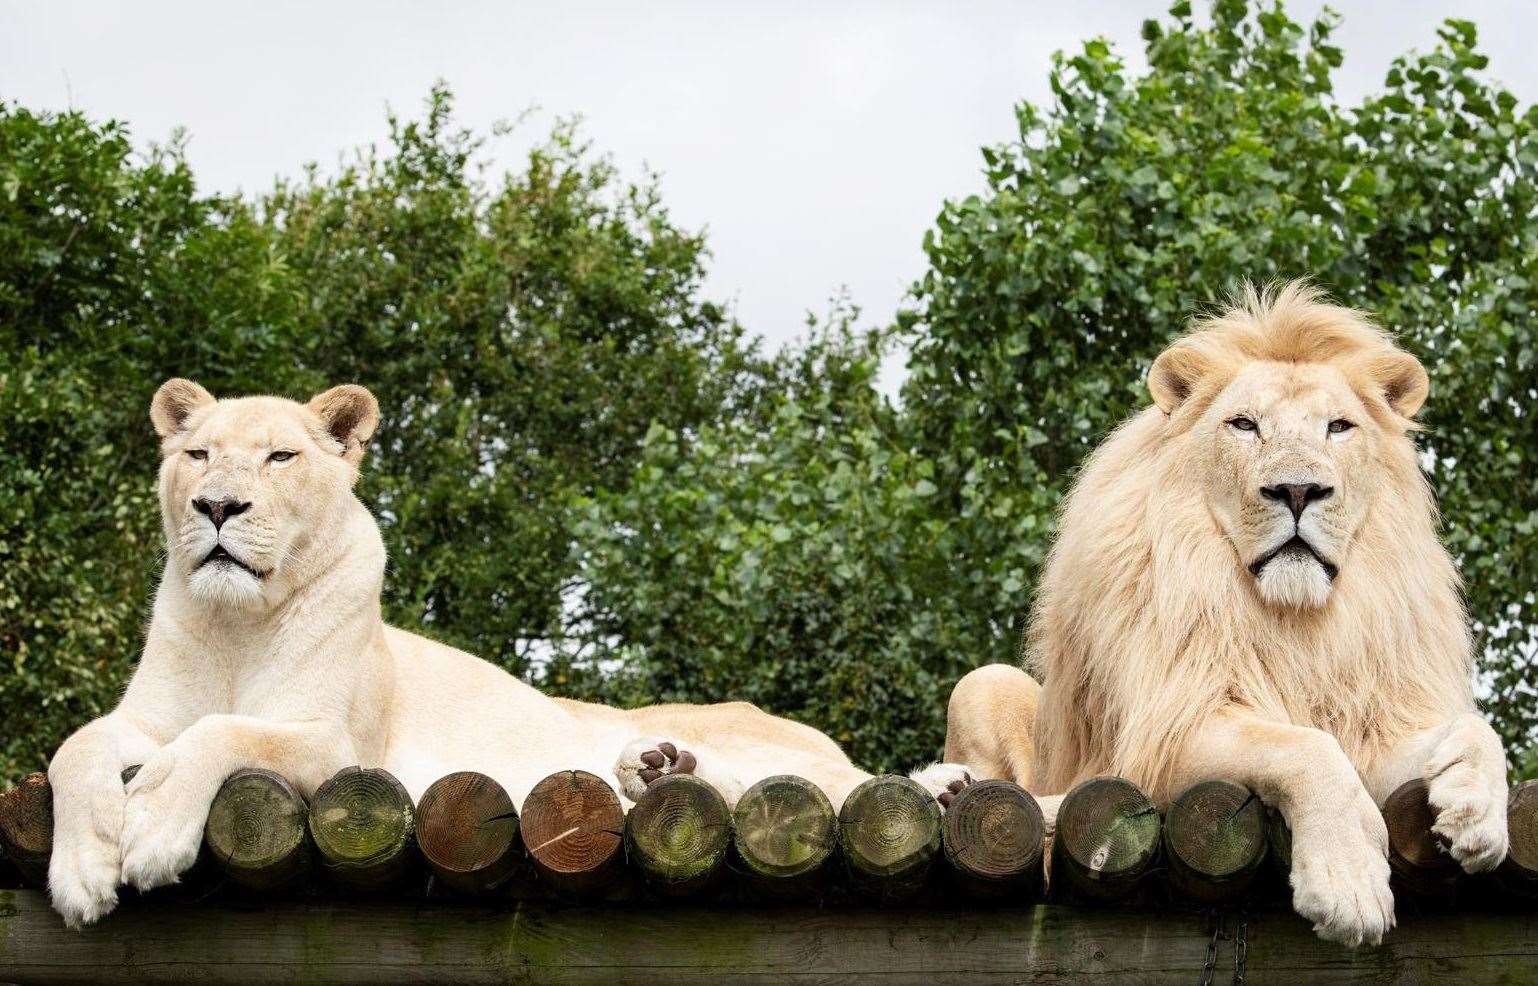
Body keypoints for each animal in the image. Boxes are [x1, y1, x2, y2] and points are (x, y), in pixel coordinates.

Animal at [51, 375, 972, 922]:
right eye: (197, 454)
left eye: (280, 456)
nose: (216, 506)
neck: (236, 625)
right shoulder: (145, 721)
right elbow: (73, 750)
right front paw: (82, 873)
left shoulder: (339, 743)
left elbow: (226, 731)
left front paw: (153, 836)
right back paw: (655, 769)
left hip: (786, 752)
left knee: (843, 782)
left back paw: (945, 787)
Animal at [941, 279, 1507, 941]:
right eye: (1244, 424)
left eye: (1339, 427)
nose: (1297, 491)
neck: (1295, 618)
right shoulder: (1166, 729)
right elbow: (1307, 748)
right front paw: (1348, 885)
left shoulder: (1372, 724)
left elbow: (1474, 731)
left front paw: (1477, 811)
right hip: (983, 686)